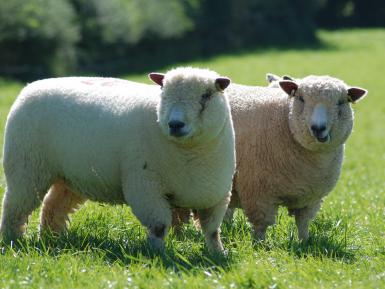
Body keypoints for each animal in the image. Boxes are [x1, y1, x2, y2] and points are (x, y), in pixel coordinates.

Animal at [0, 66, 234, 253]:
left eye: (206, 96)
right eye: (163, 94)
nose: (175, 124)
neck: (190, 154)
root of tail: (31, 87)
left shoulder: (217, 195)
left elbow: (212, 231)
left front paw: (218, 254)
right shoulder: (145, 186)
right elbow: (159, 227)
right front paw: (158, 254)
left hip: (69, 176)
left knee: (53, 206)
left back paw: (52, 239)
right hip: (26, 168)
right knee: (14, 206)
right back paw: (13, 240)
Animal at [172, 75, 364, 241]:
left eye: (341, 102)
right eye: (301, 98)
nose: (318, 128)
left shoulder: (310, 197)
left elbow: (302, 223)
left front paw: (304, 242)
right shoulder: (258, 191)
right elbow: (261, 225)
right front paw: (260, 246)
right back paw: (179, 238)